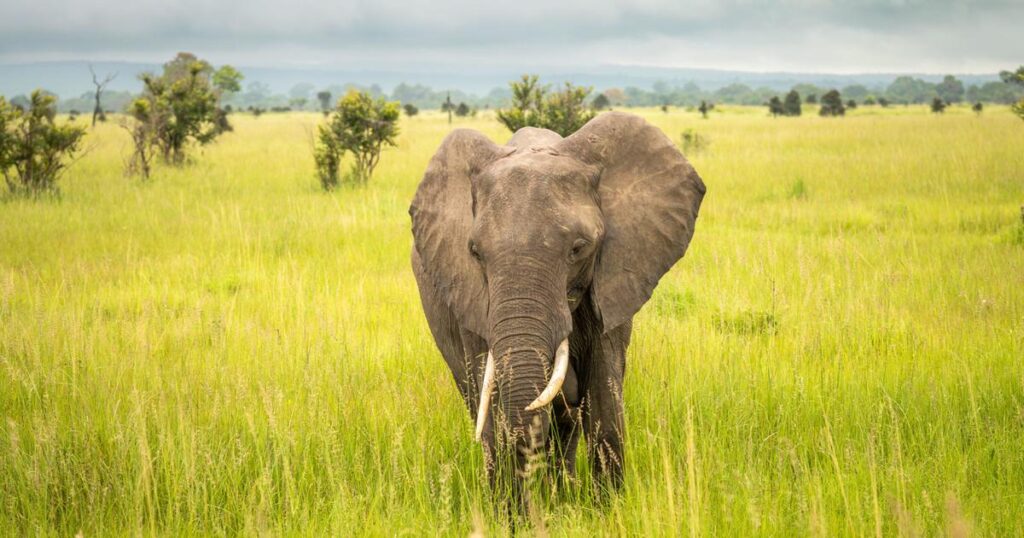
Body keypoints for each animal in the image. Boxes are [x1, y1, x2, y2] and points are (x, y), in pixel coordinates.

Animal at [407, 111, 704, 506]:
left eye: (578, 248)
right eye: (475, 252)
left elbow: (603, 392)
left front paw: (606, 511)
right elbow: (493, 404)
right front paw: (509, 513)